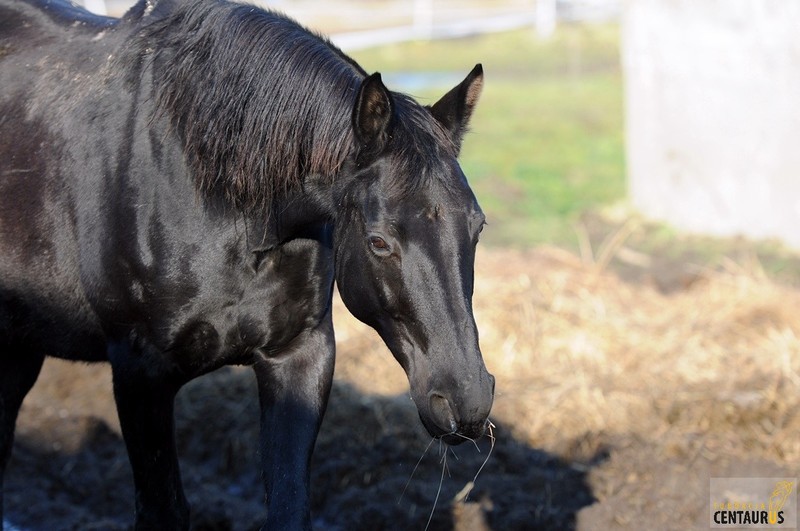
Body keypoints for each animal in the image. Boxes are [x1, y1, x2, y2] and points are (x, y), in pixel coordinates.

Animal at [0, 2, 494, 528]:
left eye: (478, 226)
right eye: (379, 242)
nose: (467, 400)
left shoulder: (301, 356)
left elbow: (289, 504)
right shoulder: (138, 373)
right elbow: (163, 509)